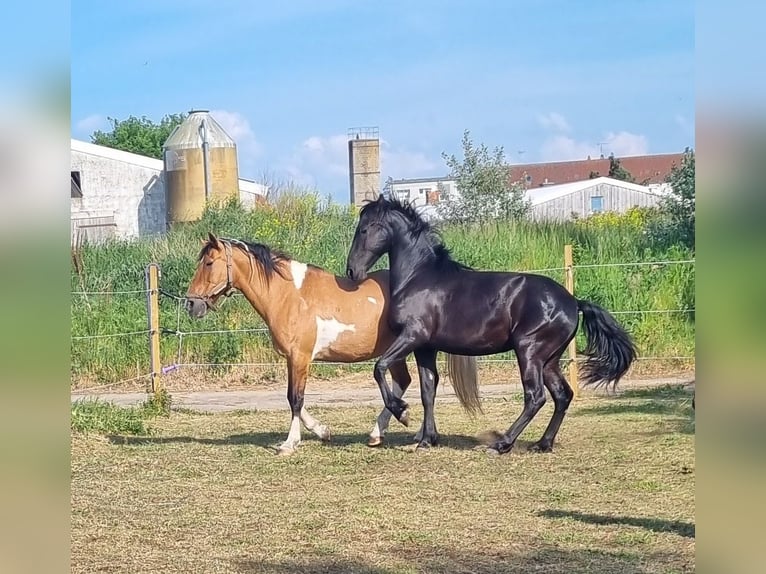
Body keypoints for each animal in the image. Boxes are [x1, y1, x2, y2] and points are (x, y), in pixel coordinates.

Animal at [184, 235, 480, 460]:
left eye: (209, 263)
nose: (191, 304)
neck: (289, 295)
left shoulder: (300, 357)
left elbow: (295, 398)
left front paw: (289, 444)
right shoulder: (293, 359)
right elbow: (295, 399)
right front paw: (322, 431)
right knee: (409, 381)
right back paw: (391, 432)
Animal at [344, 196, 640, 456]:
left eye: (364, 229)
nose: (351, 272)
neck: (419, 277)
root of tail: (573, 301)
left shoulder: (412, 337)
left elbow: (380, 367)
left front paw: (403, 412)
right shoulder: (425, 348)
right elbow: (428, 390)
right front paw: (427, 440)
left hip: (529, 353)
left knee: (535, 397)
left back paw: (502, 444)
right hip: (550, 360)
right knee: (562, 395)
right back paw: (542, 444)